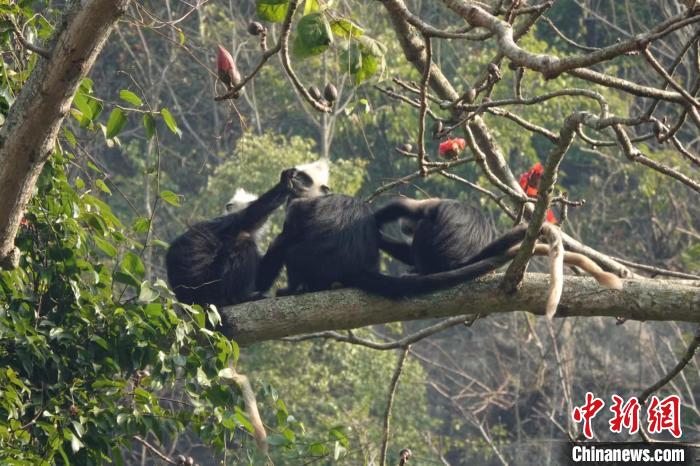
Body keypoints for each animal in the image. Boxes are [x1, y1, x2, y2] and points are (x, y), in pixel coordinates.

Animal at [165, 158, 330, 308]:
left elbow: (260, 280)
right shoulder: (229, 223)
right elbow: (250, 215)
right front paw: (284, 182)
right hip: (213, 287)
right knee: (243, 240)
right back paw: (239, 297)